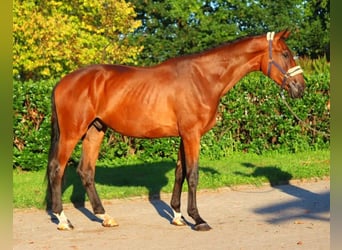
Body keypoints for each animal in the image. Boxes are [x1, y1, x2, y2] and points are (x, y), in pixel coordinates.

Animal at [46, 30, 304, 231]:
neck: (204, 78)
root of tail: (62, 83)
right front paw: (198, 219)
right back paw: (63, 219)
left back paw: (105, 216)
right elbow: (193, 175)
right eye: (285, 54)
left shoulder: (184, 136)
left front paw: (179, 216)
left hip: (95, 131)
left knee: (86, 171)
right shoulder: (192, 135)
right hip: (72, 134)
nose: (301, 87)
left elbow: (181, 173)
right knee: (58, 170)